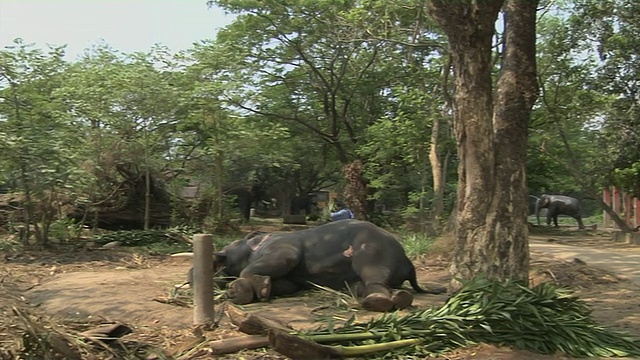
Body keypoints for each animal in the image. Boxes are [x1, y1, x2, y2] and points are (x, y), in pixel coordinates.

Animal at [190, 219, 444, 312]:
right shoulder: (290, 279)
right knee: (360, 284)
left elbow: (282, 260)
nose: (190, 278)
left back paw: (381, 302)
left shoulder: (282, 246)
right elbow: (287, 285)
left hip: (373, 248)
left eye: (220, 260)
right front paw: (262, 290)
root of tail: (409, 262)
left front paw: (251, 290)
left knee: (373, 273)